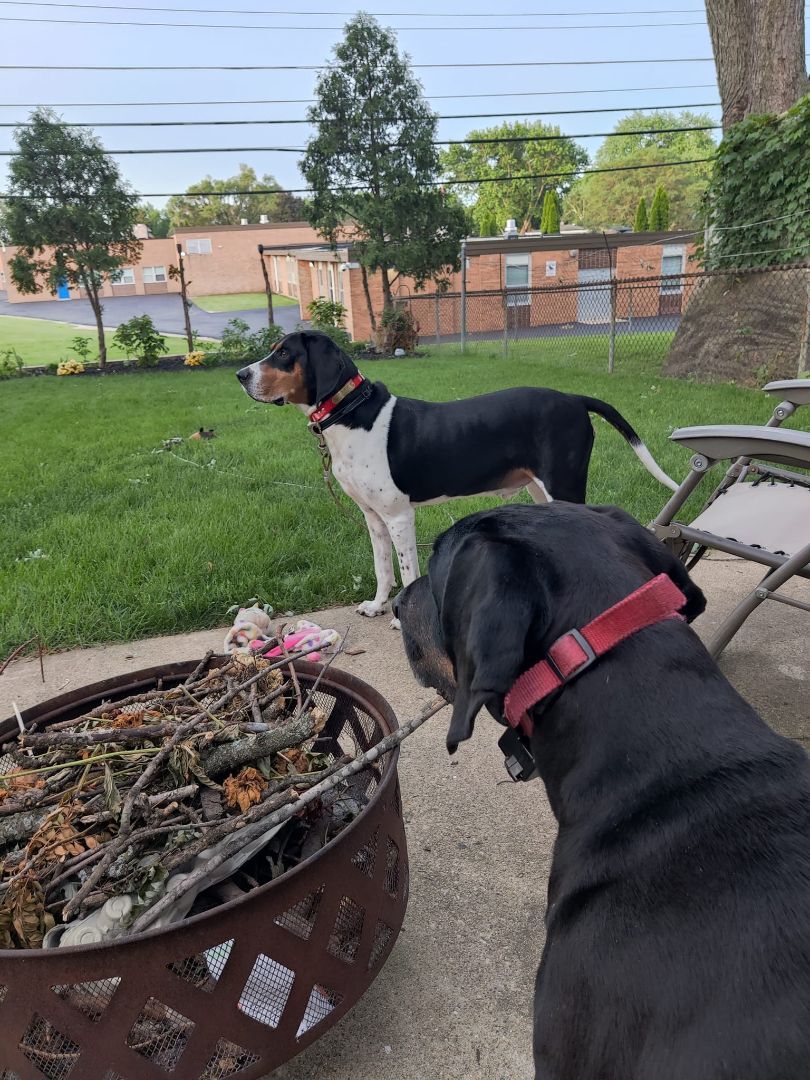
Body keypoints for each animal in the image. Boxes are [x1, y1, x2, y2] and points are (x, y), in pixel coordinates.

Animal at [236, 328, 678, 617]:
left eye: (283, 354)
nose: (241, 375)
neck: (350, 413)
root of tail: (573, 398)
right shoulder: (373, 518)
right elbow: (382, 568)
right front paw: (378, 605)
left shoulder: (399, 517)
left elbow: (407, 571)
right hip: (542, 491)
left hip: (563, 484)